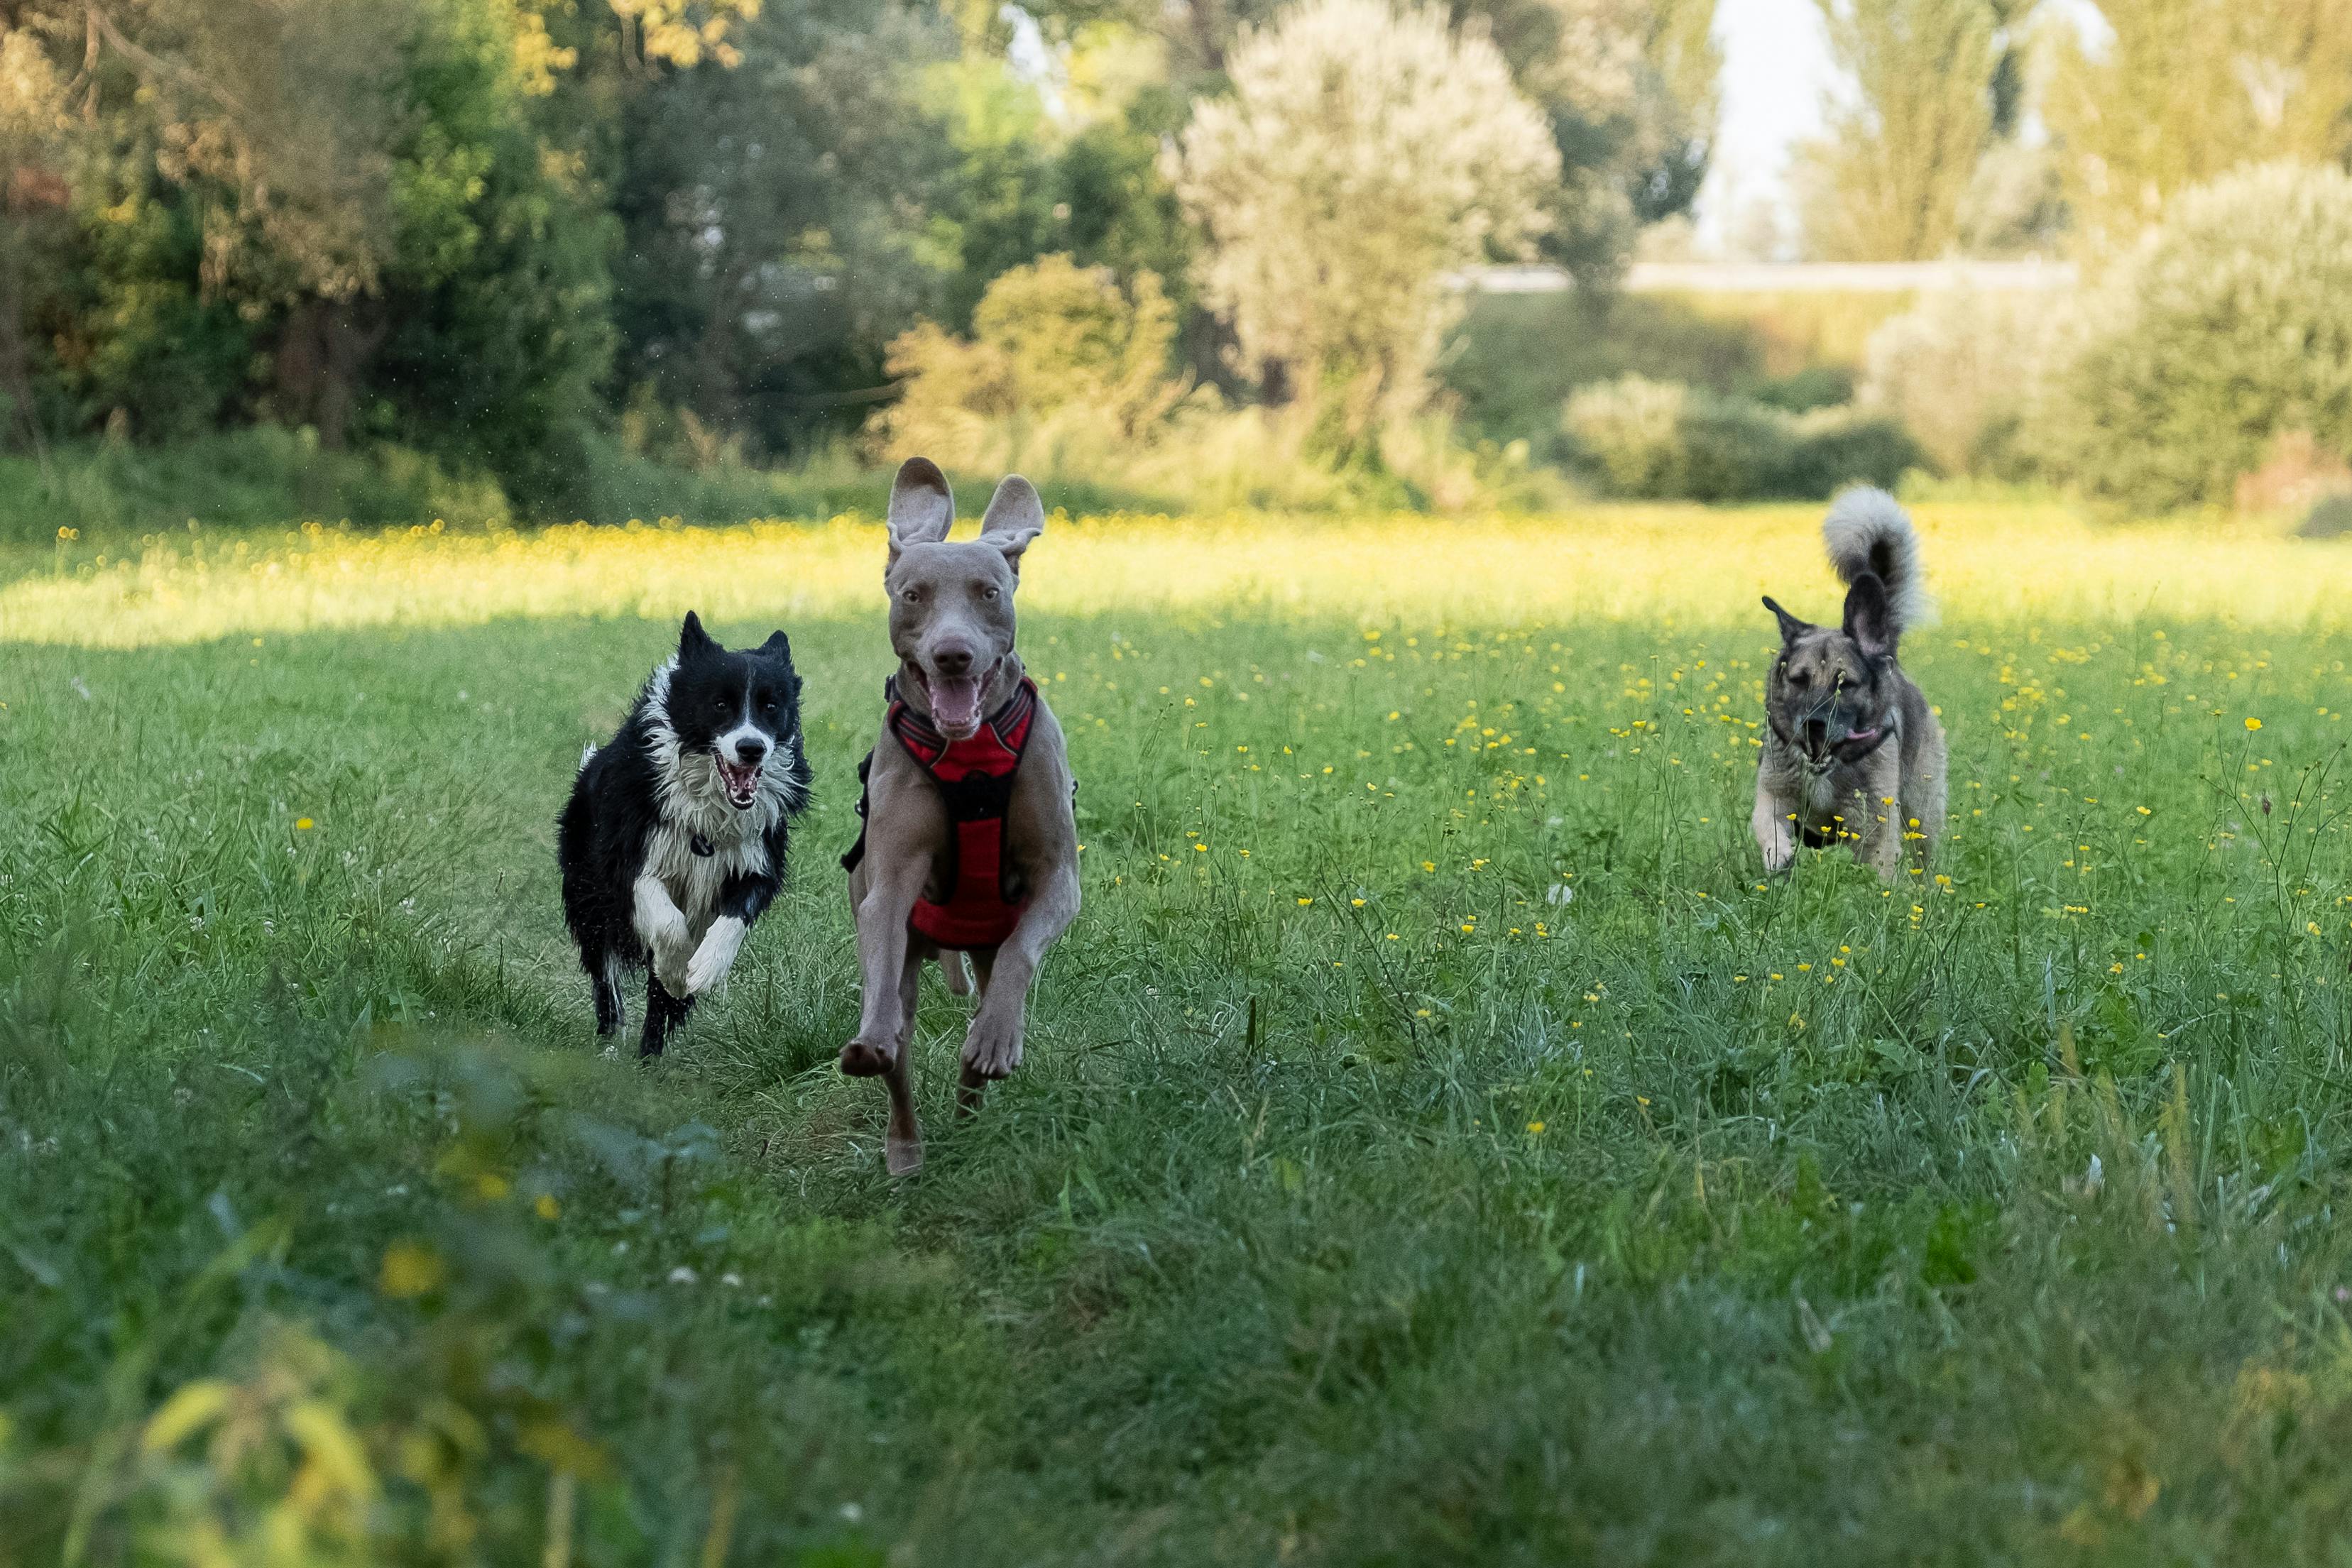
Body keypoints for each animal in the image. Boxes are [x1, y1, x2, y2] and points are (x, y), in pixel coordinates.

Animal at [554, 611, 814, 1053]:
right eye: (720, 705)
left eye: (771, 707)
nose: (752, 749)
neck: (710, 804)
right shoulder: (631, 860)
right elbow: (668, 926)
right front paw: (677, 972)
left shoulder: (757, 861)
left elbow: (734, 918)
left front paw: (703, 970)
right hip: (587, 891)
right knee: (603, 968)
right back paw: (613, 1034)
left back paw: (649, 1055)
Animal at [842, 461, 1077, 1170]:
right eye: (913, 595)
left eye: (988, 592)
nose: (953, 654)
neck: (970, 754)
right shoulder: (889, 885)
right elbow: (882, 945)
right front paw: (873, 1033)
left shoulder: (1059, 878)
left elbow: (1024, 953)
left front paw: (997, 1036)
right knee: (900, 1065)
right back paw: (905, 1148)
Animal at [1749, 486, 1947, 879]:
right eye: (1799, 680)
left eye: (1845, 684)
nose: (1814, 725)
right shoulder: (1772, 795)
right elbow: (1769, 826)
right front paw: (1779, 856)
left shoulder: (1875, 823)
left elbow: (1880, 868)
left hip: (1922, 812)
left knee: (1925, 857)